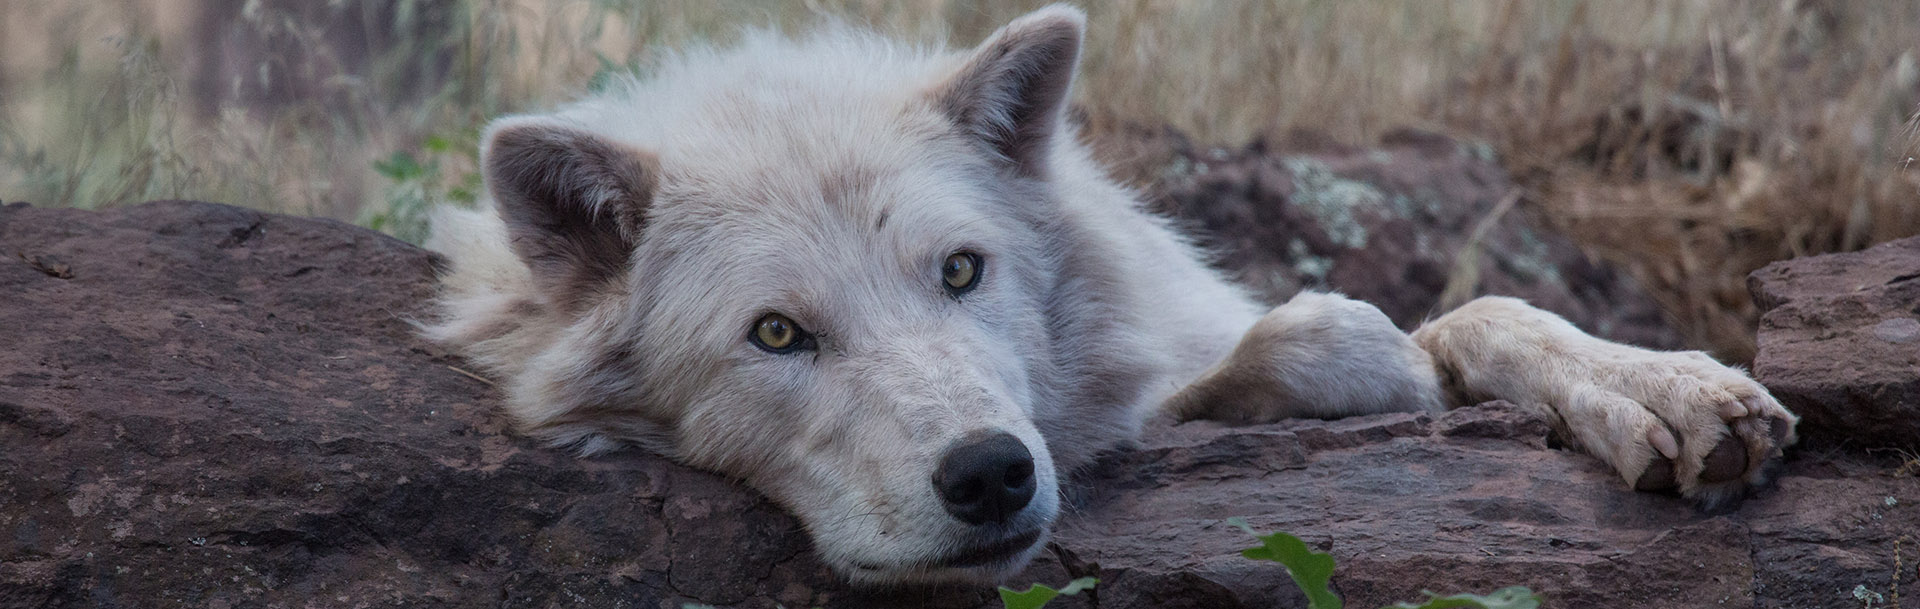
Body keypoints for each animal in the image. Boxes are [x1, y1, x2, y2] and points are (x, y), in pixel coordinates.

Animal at [424, 4, 1797, 584]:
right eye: (776, 334)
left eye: (961, 271)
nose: (991, 476)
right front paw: (1361, 360)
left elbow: (1477, 317)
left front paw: (1659, 390)